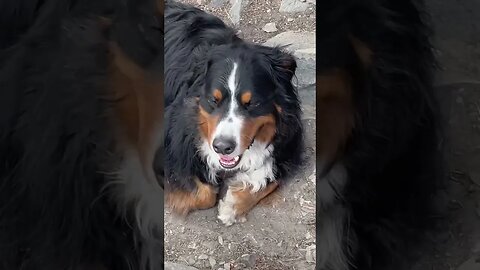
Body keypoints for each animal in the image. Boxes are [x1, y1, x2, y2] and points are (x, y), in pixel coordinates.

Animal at [163, 0, 302, 226]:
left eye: (251, 103)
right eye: (214, 100)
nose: (222, 147)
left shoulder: (289, 141)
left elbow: (272, 177)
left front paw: (233, 205)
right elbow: (204, 194)